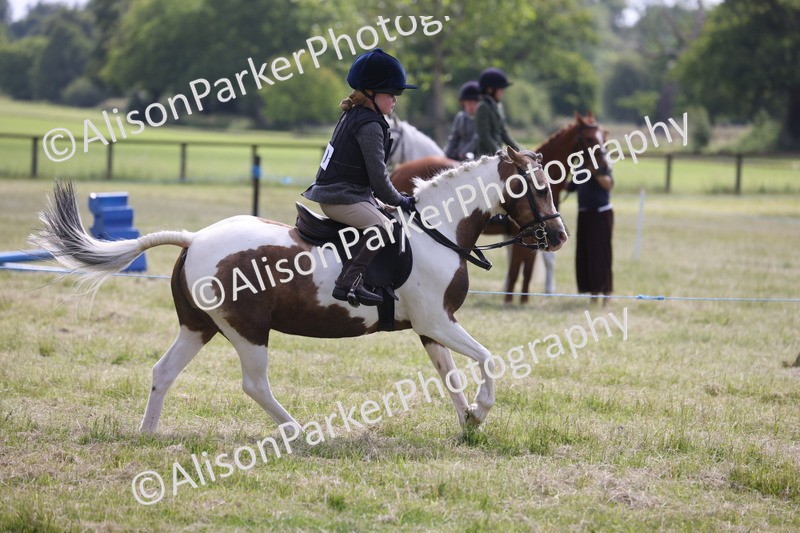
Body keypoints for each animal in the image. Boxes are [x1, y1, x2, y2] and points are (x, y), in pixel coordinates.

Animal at [31, 147, 567, 436]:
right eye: (534, 187)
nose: (559, 236)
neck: (437, 229)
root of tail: (194, 239)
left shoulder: (430, 328)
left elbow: (450, 376)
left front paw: (470, 422)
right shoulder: (438, 320)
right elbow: (488, 360)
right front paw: (482, 410)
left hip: (199, 327)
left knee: (163, 372)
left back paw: (147, 434)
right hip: (248, 331)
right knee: (254, 384)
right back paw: (299, 432)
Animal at [392, 112, 611, 304]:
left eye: (604, 135)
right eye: (590, 138)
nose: (606, 169)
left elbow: (534, 263)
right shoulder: (526, 235)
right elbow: (521, 267)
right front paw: (515, 298)